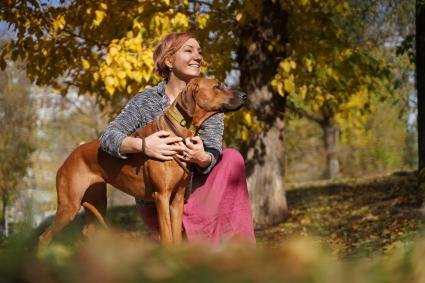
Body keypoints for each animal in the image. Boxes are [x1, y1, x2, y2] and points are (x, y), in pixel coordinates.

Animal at [39, 77, 247, 246]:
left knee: (87, 232)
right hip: (69, 205)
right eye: (218, 86)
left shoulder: (177, 198)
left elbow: (176, 236)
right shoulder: (161, 196)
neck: (179, 130)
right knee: (44, 237)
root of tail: (69, 157)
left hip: (97, 202)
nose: (245, 95)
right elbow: (167, 236)